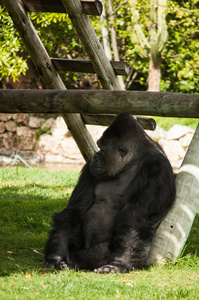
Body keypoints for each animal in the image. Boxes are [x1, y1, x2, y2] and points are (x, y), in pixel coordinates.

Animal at [44, 113, 176, 274]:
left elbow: (133, 222)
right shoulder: (90, 168)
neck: (132, 160)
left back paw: (74, 261)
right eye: (98, 146)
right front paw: (55, 255)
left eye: (102, 148)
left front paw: (119, 263)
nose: (95, 155)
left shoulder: (156, 169)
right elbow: (75, 210)